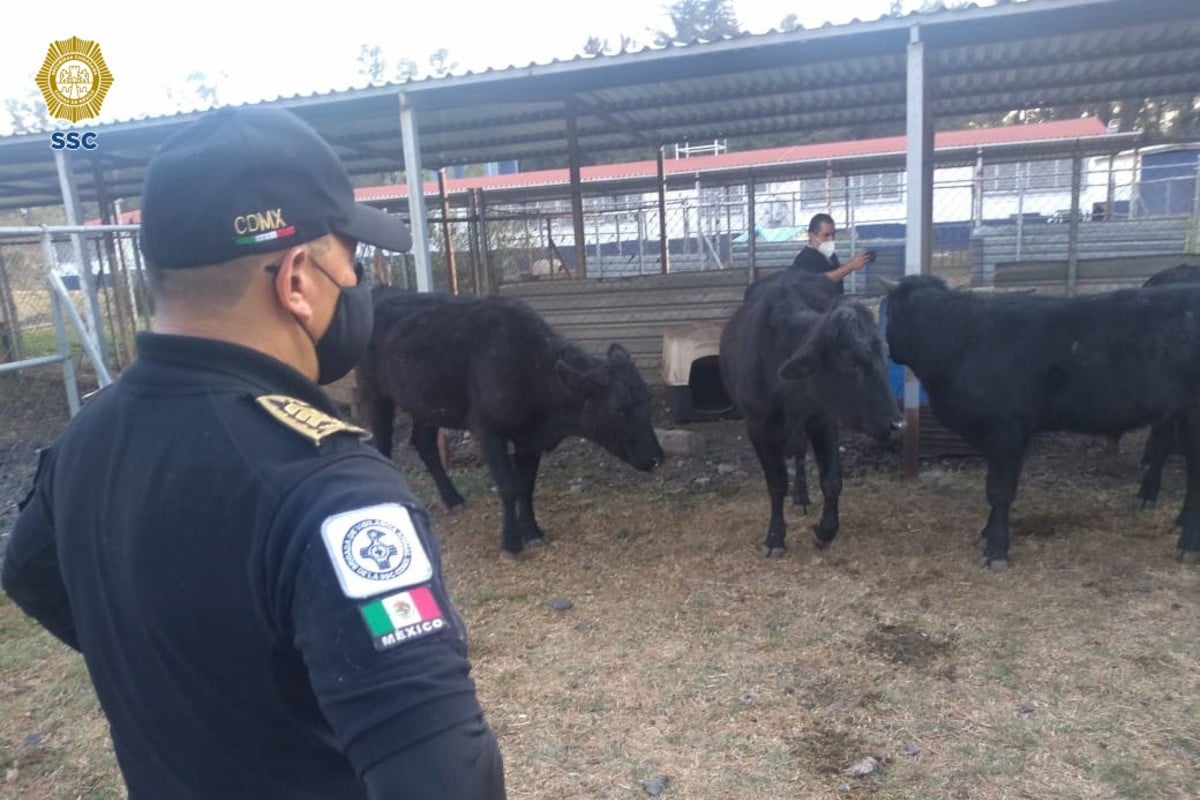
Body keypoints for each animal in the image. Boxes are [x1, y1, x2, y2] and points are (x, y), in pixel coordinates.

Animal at [355, 287, 667, 556]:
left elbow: (526, 485)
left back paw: (453, 499)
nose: (656, 457)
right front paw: (511, 542)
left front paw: (532, 531)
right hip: (376, 395)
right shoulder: (489, 431)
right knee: (383, 446)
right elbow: (508, 485)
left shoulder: (529, 438)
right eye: (620, 408)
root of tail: (380, 291)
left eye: (646, 400)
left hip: (426, 406)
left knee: (424, 444)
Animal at [720, 272, 902, 561]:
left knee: (799, 453)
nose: (896, 423)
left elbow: (831, 479)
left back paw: (801, 497)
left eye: (885, 354)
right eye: (852, 362)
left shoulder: (822, 419)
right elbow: (777, 483)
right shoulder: (758, 428)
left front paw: (825, 530)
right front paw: (775, 537)